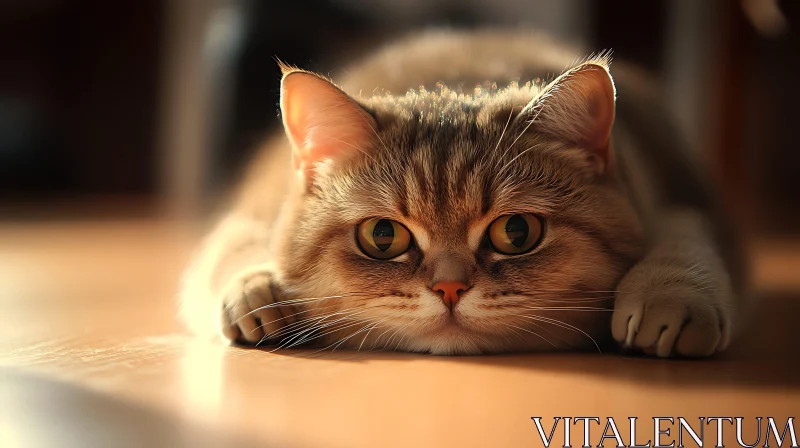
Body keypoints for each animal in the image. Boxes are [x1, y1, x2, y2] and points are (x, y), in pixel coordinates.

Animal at [178, 28, 748, 356]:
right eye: (382, 236)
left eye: (516, 232)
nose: (449, 289)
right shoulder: (247, 217)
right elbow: (235, 252)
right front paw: (257, 290)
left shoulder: (683, 203)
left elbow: (686, 245)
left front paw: (669, 295)